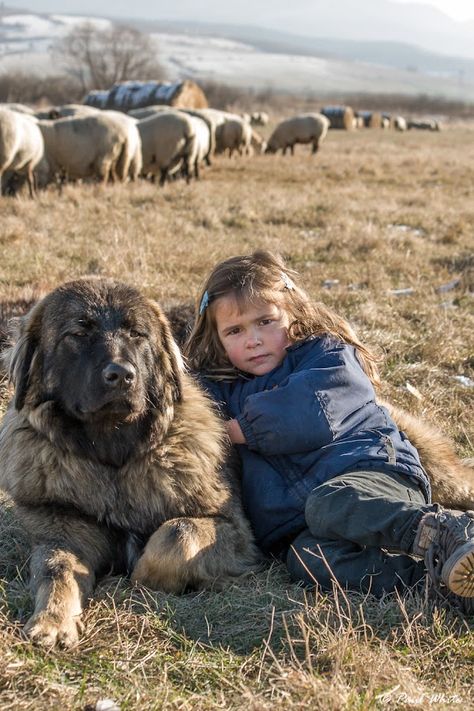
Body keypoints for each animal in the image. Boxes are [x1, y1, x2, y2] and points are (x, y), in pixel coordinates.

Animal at [0, 280, 260, 652]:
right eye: (78, 333)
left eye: (138, 334)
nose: (122, 374)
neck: (114, 456)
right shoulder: (62, 528)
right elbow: (56, 570)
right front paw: (52, 621)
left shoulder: (235, 530)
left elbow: (176, 534)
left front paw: (141, 578)